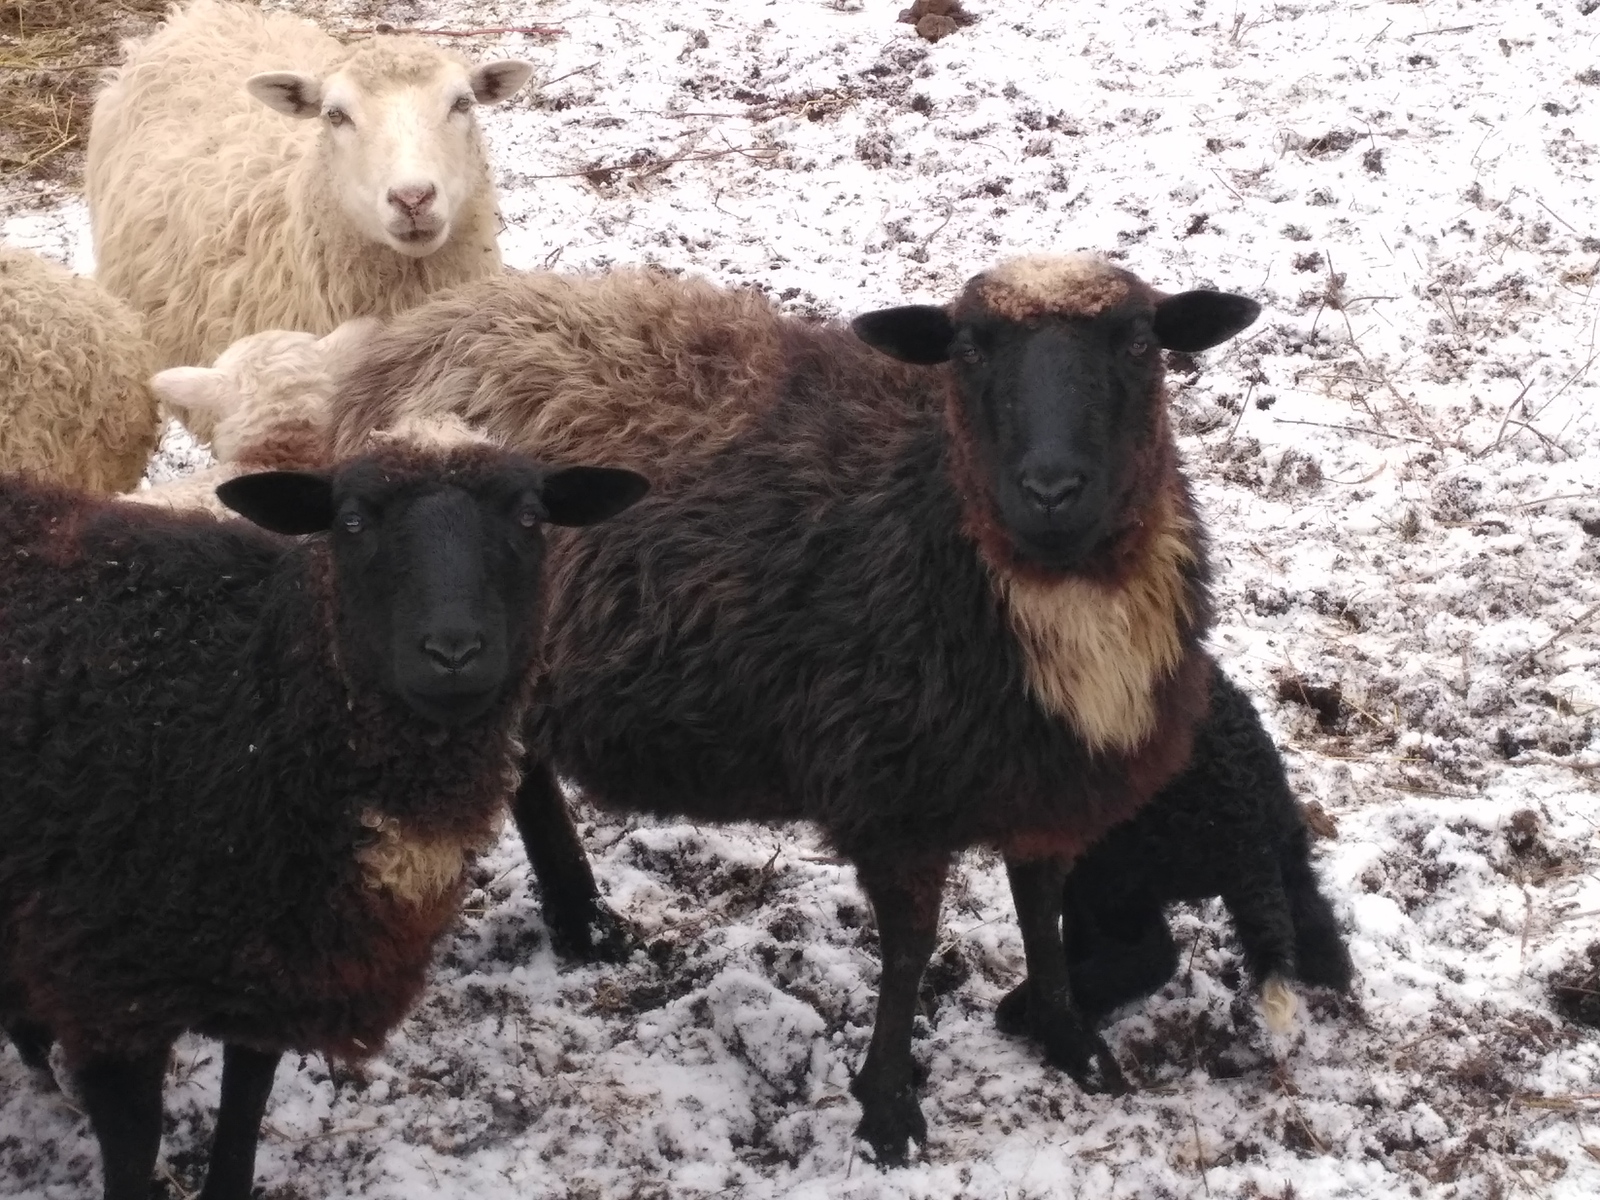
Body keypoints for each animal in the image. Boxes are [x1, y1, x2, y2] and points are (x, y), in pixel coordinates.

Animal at [3, 451, 649, 1200]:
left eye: (528, 517)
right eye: (352, 522)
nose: (454, 652)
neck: (261, 709)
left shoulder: (283, 970)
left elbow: (246, 1111)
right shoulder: (108, 992)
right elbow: (135, 1149)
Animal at [512, 256, 1260, 1164]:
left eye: (1140, 342)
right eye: (968, 349)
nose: (1051, 490)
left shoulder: (1046, 780)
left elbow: (1038, 908)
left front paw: (1069, 1040)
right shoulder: (890, 792)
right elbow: (909, 952)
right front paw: (889, 1111)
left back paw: (582, 923)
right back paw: (582, 920)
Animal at [992, 662, 1356, 1036]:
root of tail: (1250, 834)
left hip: (1115, 868)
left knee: (1152, 953)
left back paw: (1025, 1009)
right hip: (1285, 844)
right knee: (1313, 914)